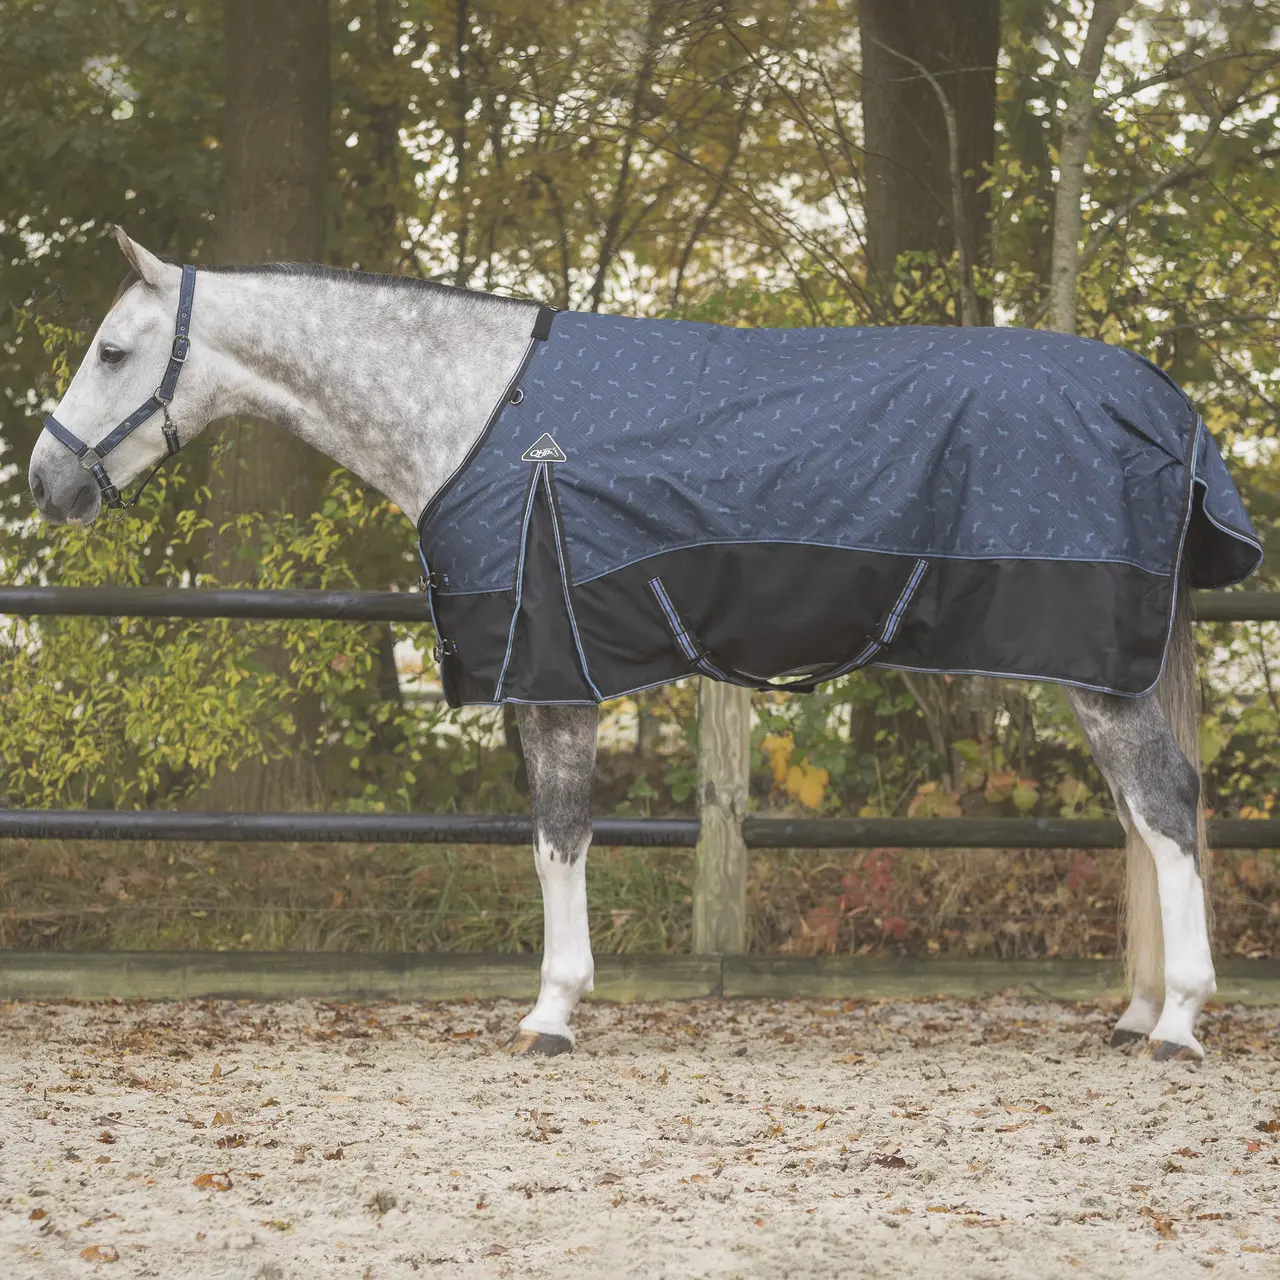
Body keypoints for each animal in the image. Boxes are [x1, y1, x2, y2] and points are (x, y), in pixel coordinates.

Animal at [28, 228, 1260, 1060]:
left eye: (113, 350)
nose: (44, 482)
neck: (478, 410)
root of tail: (1168, 407)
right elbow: (553, 842)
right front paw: (557, 1004)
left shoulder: (550, 669)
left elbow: (557, 838)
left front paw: (552, 1012)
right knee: (1139, 818)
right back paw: (1135, 1010)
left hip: (1096, 662)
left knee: (1163, 806)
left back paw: (1177, 1022)